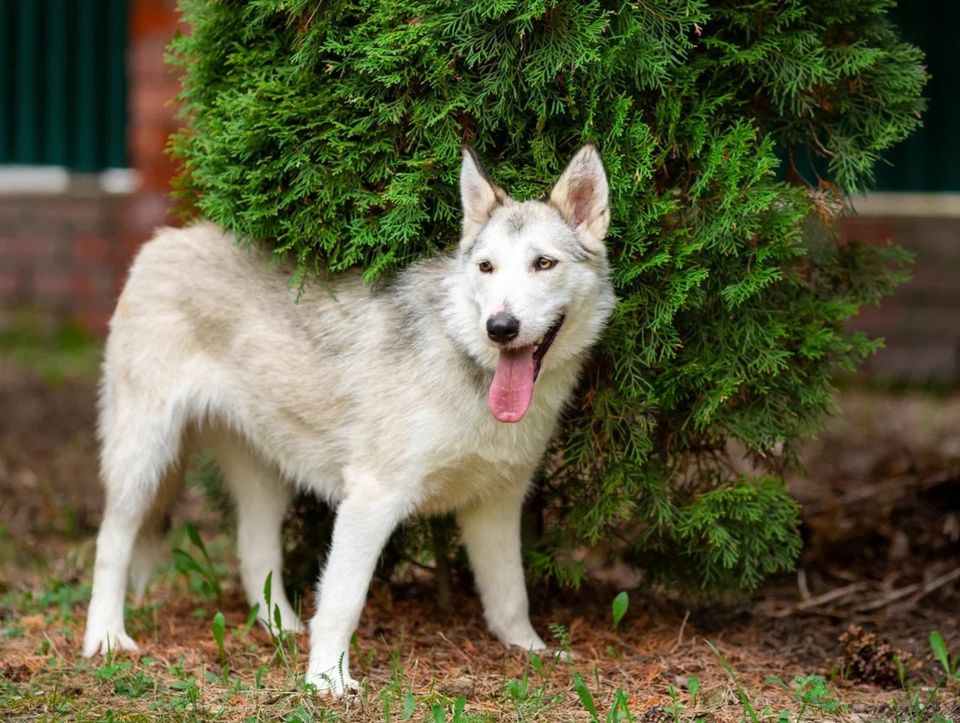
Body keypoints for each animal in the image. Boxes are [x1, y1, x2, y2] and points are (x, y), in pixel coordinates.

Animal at [86, 144, 620, 692]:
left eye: (543, 263)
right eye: (487, 267)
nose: (500, 327)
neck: (468, 359)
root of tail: (167, 238)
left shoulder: (496, 505)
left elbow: (511, 595)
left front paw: (530, 651)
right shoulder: (372, 496)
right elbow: (343, 600)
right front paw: (326, 680)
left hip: (263, 481)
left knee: (254, 556)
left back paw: (283, 632)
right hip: (144, 460)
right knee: (111, 544)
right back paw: (105, 638)